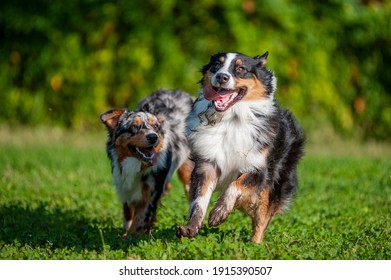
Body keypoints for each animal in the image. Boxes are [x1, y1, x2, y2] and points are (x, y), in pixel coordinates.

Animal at [100, 88, 194, 237]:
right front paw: (125, 234)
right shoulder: (124, 186)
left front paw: (131, 238)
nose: (153, 137)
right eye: (134, 126)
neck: (136, 164)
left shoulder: (152, 190)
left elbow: (139, 220)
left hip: (187, 172)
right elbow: (128, 213)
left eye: (155, 126)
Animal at [178, 52, 306, 243]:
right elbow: (199, 199)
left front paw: (218, 213)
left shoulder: (259, 169)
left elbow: (235, 185)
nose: (221, 77)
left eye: (240, 68)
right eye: (216, 65)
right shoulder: (207, 164)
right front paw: (191, 227)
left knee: (262, 216)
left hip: (274, 184)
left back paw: (255, 244)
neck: (231, 117)